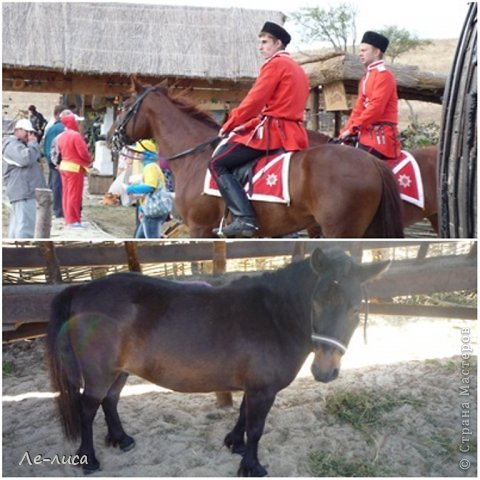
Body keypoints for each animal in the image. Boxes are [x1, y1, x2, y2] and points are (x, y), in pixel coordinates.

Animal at [46, 249, 390, 474]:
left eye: (355, 308)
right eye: (316, 302)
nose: (325, 371)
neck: (275, 315)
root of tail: (83, 288)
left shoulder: (254, 386)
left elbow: (243, 414)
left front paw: (234, 443)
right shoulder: (263, 390)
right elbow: (256, 427)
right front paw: (251, 466)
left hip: (119, 371)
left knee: (111, 401)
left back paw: (121, 439)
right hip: (100, 373)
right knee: (87, 409)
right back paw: (89, 460)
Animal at [110, 79, 404, 239]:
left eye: (125, 105)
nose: (108, 135)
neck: (194, 156)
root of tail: (372, 162)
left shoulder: (200, 227)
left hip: (340, 229)